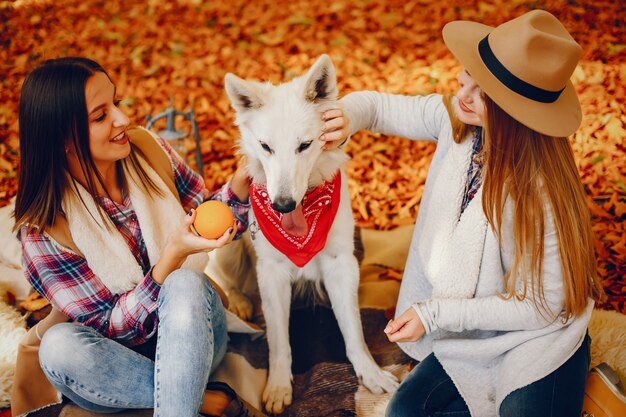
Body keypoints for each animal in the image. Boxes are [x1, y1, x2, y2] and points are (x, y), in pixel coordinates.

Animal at [214, 54, 398, 412]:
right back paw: (240, 302)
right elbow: (278, 340)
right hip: (229, 239)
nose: (283, 205)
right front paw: (278, 387)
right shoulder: (271, 272)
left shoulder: (342, 264)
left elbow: (353, 330)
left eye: (305, 145)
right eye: (266, 147)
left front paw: (369, 373)